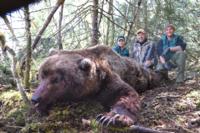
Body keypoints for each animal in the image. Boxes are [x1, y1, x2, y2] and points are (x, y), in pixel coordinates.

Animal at [31, 45, 161, 127]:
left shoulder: (107, 81)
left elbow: (126, 93)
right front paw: (41, 107)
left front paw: (111, 118)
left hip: (145, 75)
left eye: (55, 79)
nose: (34, 99)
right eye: (40, 76)